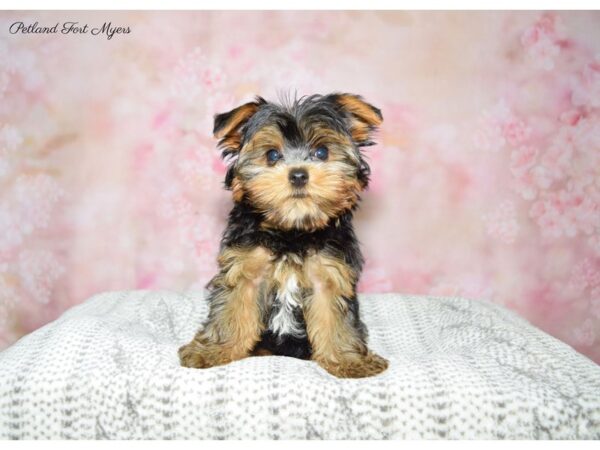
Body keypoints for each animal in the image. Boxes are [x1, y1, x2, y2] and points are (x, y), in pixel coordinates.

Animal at [178, 93, 390, 378]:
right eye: (272, 155)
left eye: (322, 152)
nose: (298, 174)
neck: (291, 231)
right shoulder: (245, 269)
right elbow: (231, 310)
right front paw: (213, 350)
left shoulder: (329, 274)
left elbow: (335, 320)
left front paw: (350, 360)